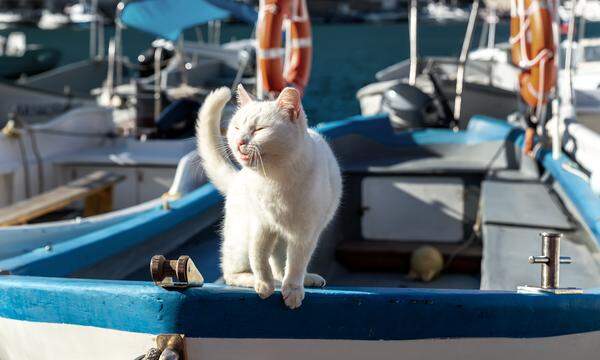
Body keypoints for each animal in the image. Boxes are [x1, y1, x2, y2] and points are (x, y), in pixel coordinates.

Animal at [195, 85, 340, 310]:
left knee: (282, 264)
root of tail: (237, 178)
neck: (274, 180)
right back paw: (257, 280)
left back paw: (297, 279)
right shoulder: (261, 225)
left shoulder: (304, 233)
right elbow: (258, 256)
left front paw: (293, 289)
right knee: (232, 273)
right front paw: (263, 284)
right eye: (237, 128)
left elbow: (296, 263)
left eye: (259, 130)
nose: (239, 142)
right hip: (241, 237)